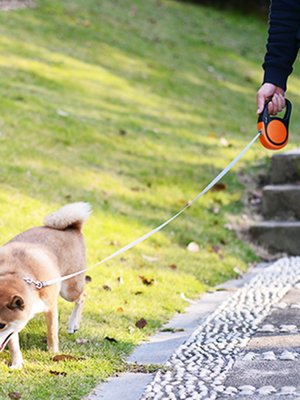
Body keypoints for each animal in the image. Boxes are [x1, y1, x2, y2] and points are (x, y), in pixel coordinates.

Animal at [0, 203, 91, 368]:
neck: (16, 273)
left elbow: (52, 331)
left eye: (1, 325)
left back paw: (73, 323)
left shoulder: (50, 306)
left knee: (82, 296)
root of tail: (73, 228)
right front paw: (17, 363)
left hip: (69, 290)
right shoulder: (18, 320)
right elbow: (13, 342)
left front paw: (53, 352)